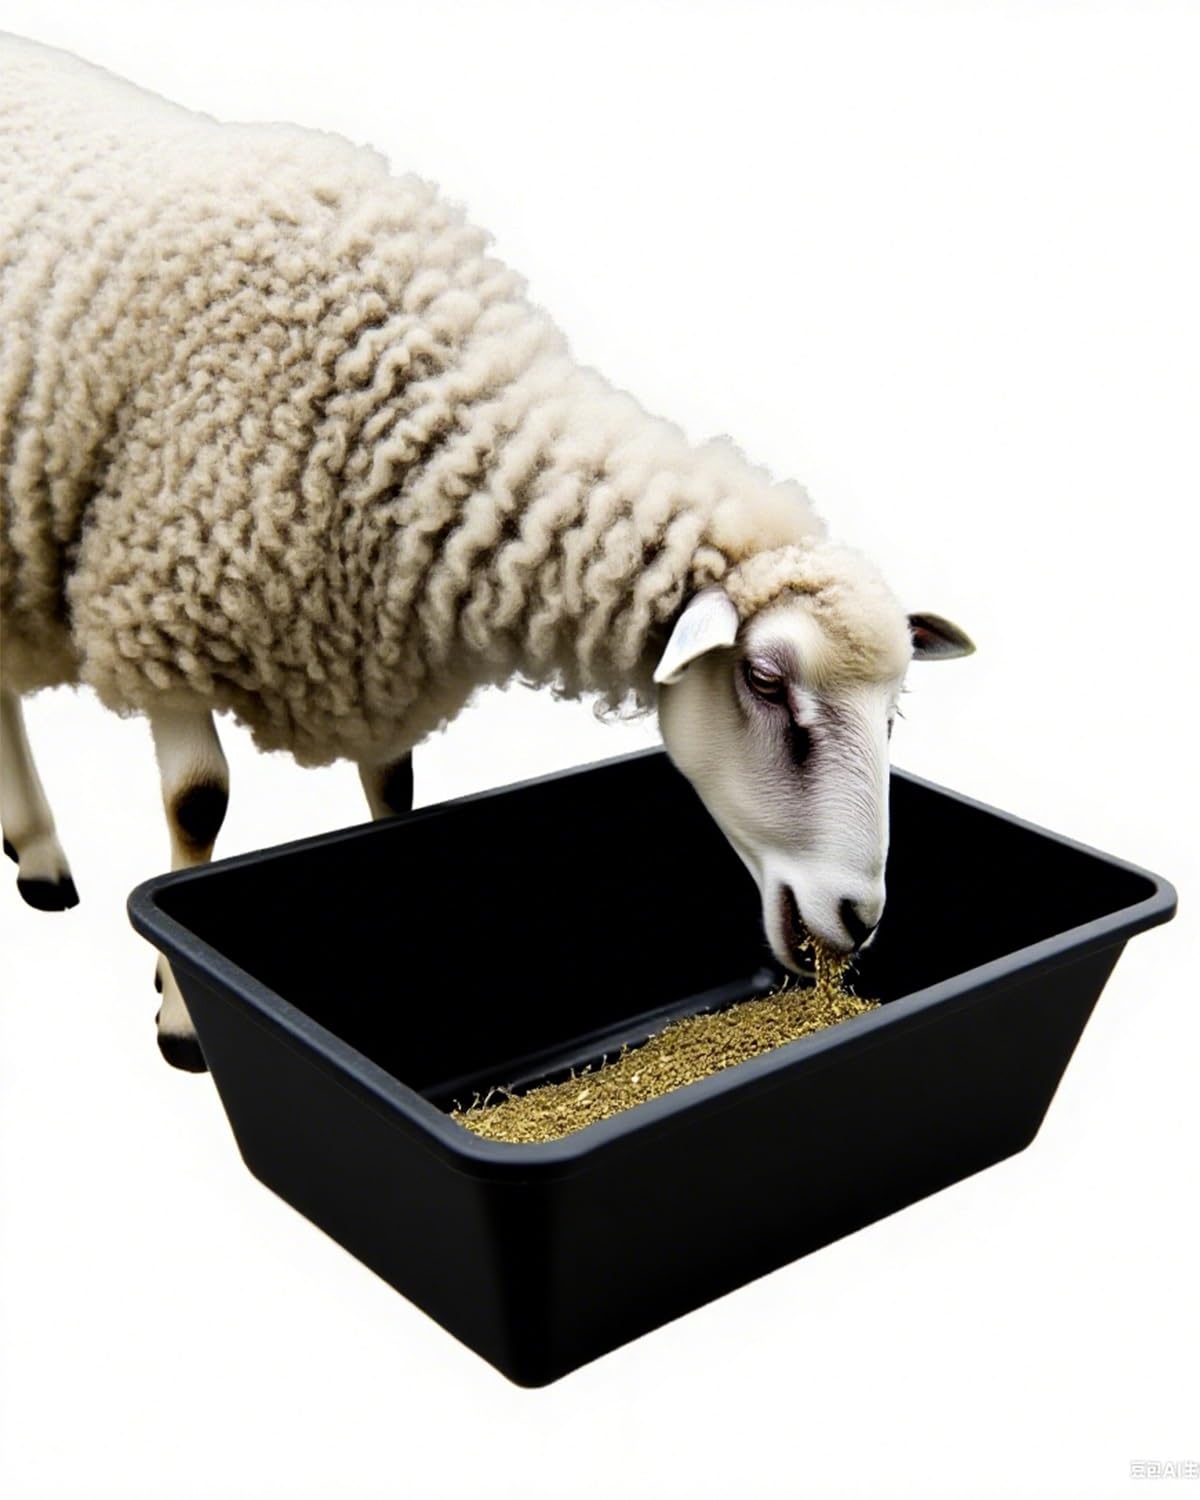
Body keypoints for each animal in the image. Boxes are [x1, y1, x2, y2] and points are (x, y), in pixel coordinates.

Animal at [0, 35, 974, 1072]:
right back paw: (46, 862)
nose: (861, 918)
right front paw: (182, 1020)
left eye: (893, 716)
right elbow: (198, 805)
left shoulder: (365, 646)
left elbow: (395, 790)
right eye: (763, 682)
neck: (404, 409)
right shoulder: (162, 611)